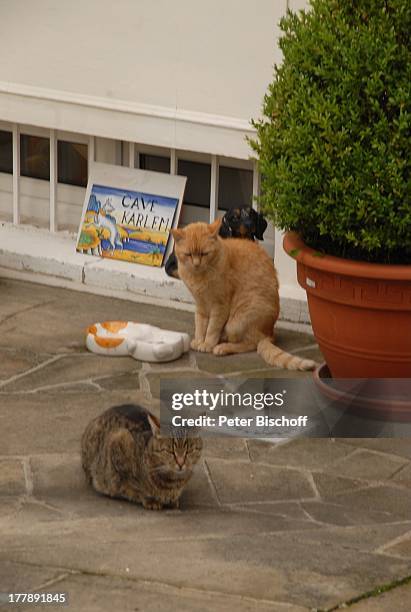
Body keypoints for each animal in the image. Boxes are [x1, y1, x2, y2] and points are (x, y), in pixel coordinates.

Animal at [172, 220, 318, 372]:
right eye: (188, 254)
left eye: (204, 254)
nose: (196, 264)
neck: (198, 277)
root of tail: (270, 333)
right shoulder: (201, 305)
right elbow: (200, 325)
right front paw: (200, 340)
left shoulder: (220, 306)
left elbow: (212, 328)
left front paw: (207, 344)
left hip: (235, 322)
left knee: (251, 344)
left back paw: (222, 348)